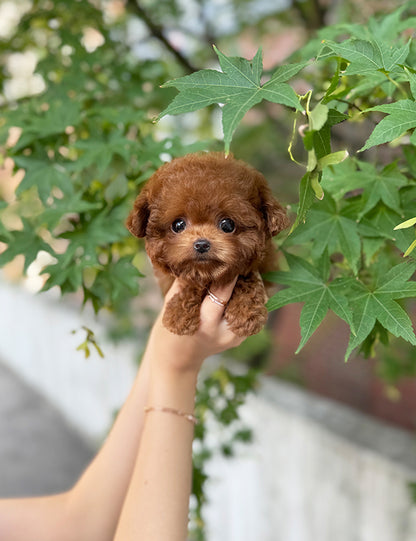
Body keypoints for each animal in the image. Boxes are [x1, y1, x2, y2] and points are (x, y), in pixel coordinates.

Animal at [127, 152, 290, 336]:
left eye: (227, 225)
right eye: (178, 225)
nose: (201, 244)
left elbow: (244, 276)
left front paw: (246, 312)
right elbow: (191, 282)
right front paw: (179, 314)